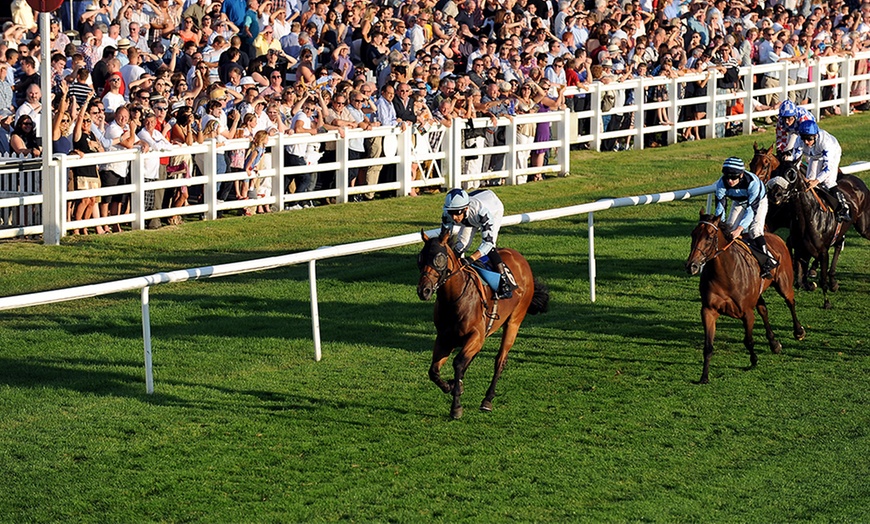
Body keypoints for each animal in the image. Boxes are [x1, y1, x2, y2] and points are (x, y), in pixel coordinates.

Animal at [418, 231, 552, 420]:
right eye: (420, 258)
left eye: (439, 258)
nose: (424, 291)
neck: (453, 299)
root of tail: (520, 258)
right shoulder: (444, 338)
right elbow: (434, 371)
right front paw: (450, 386)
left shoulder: (475, 335)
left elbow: (458, 363)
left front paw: (456, 406)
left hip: (514, 321)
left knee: (500, 360)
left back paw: (487, 400)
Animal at [684, 210, 808, 384]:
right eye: (693, 234)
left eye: (709, 237)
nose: (692, 266)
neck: (726, 275)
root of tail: (775, 237)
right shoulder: (708, 311)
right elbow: (708, 346)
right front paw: (704, 376)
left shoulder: (747, 313)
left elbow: (748, 340)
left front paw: (754, 360)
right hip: (758, 294)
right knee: (764, 310)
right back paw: (774, 343)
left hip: (784, 284)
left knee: (790, 302)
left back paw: (798, 331)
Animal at [768, 168, 870, 308]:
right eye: (775, 171)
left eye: (791, 174)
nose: (774, 194)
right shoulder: (800, 249)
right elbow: (799, 281)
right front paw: (811, 284)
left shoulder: (822, 251)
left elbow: (821, 279)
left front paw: (826, 302)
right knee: (839, 245)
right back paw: (833, 282)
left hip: (863, 227)